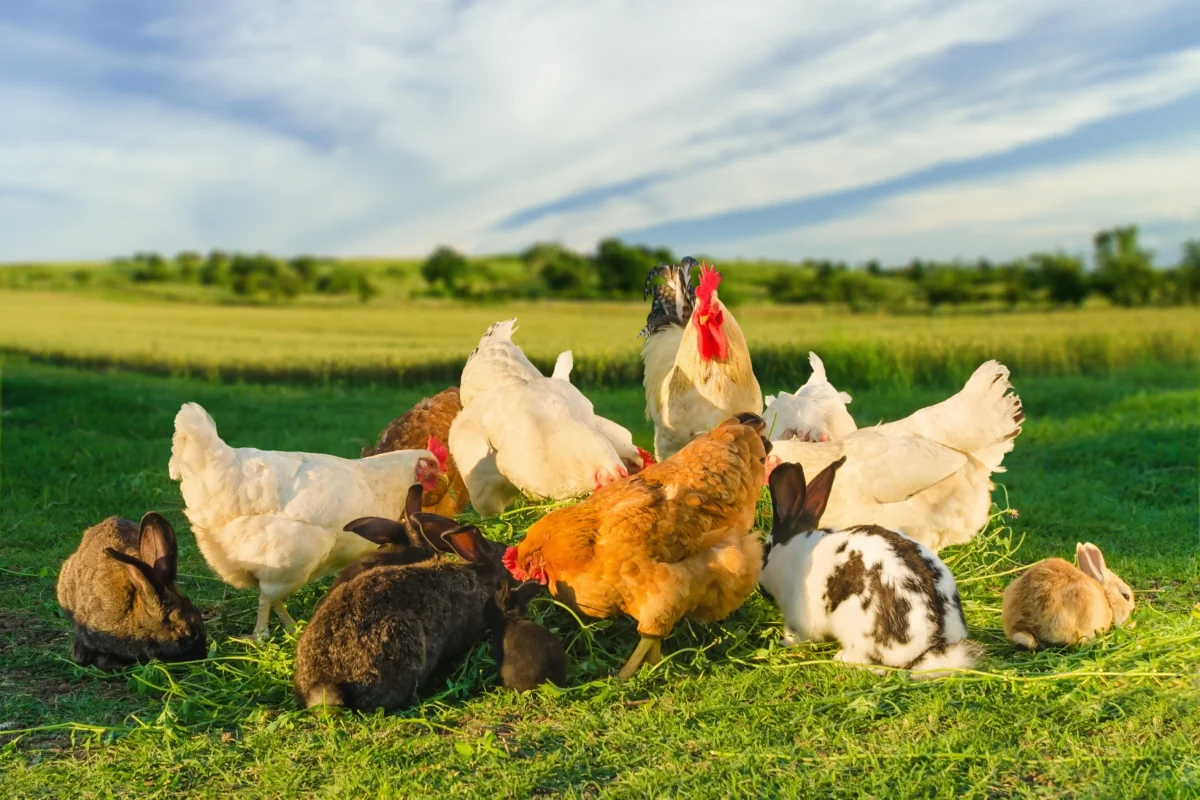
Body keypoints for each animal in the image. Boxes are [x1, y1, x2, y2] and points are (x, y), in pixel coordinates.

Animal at [758, 458, 983, 679]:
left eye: (765, 551)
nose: (760, 588)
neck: (789, 550)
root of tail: (930, 647)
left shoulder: (798, 617)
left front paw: (785, 642)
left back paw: (841, 658)